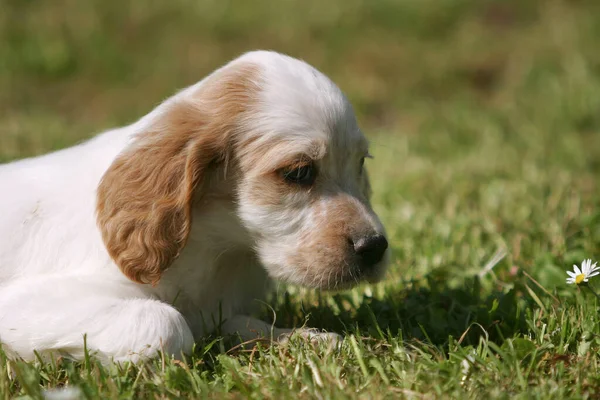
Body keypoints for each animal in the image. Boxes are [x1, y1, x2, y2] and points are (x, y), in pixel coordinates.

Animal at [0, 50, 390, 362]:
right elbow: (165, 323)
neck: (217, 248)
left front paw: (306, 339)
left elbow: (239, 322)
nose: (375, 247)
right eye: (298, 173)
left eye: (360, 163)